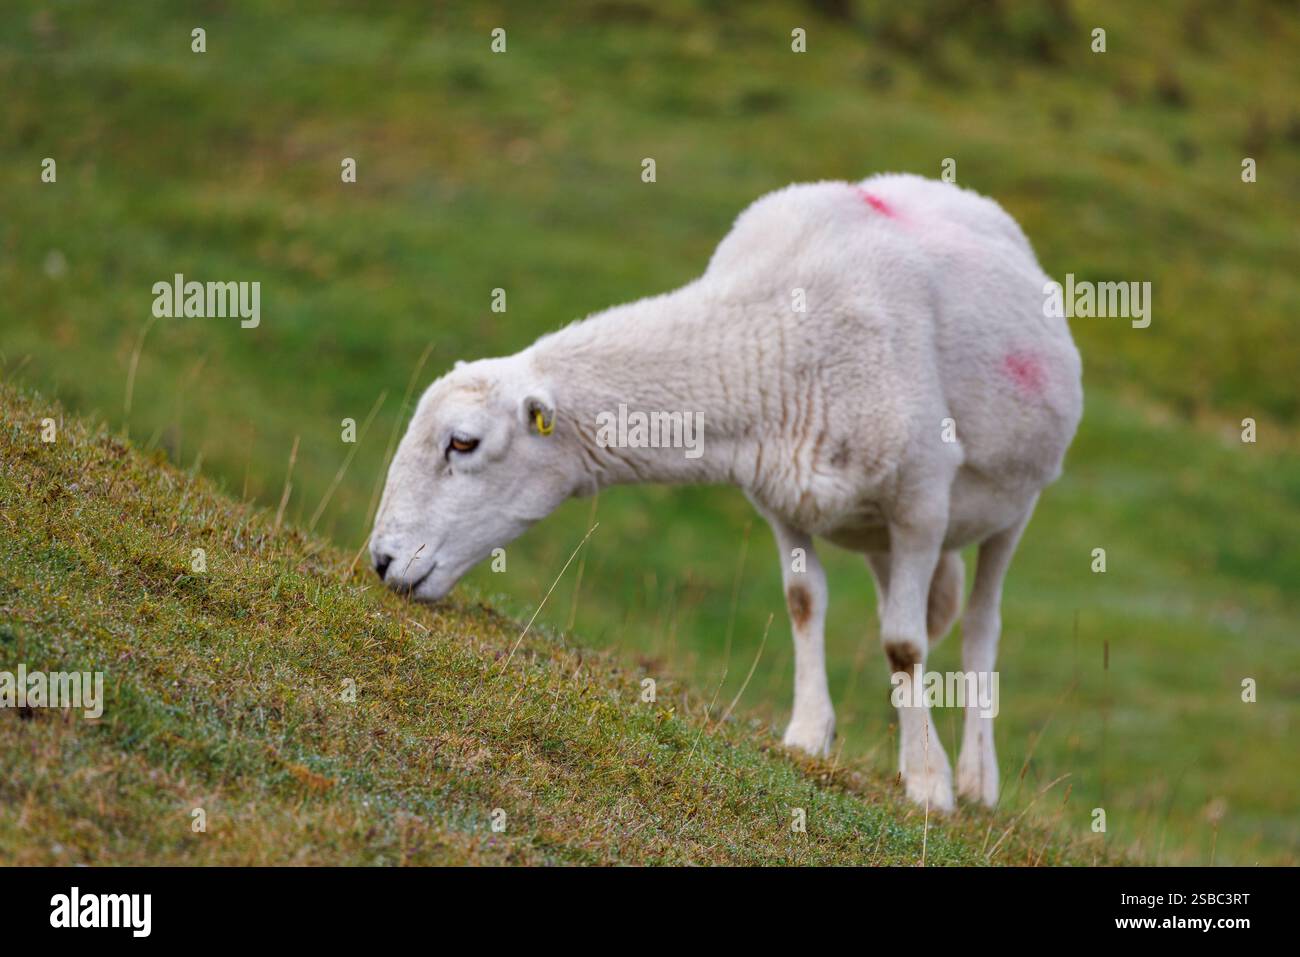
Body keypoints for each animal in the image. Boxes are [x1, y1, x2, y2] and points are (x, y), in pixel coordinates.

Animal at [371, 173, 1083, 811]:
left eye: (463, 443)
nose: (380, 560)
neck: (770, 339)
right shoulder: (782, 501)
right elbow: (805, 603)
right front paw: (809, 734)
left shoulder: (922, 502)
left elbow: (904, 644)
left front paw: (930, 784)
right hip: (881, 534)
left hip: (1013, 508)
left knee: (980, 628)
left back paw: (977, 778)